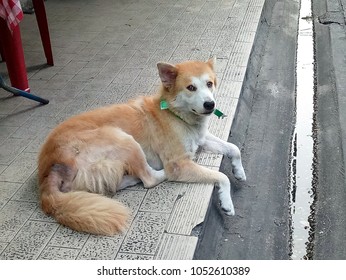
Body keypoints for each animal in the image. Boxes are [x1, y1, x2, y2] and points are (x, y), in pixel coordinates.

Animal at [37, 58, 246, 235]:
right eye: (191, 87)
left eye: (209, 84)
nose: (210, 104)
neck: (174, 113)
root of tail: (48, 172)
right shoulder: (179, 163)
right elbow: (221, 176)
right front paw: (227, 201)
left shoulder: (201, 139)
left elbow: (233, 148)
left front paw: (239, 171)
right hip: (123, 139)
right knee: (150, 178)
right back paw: (153, 174)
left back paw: (128, 178)